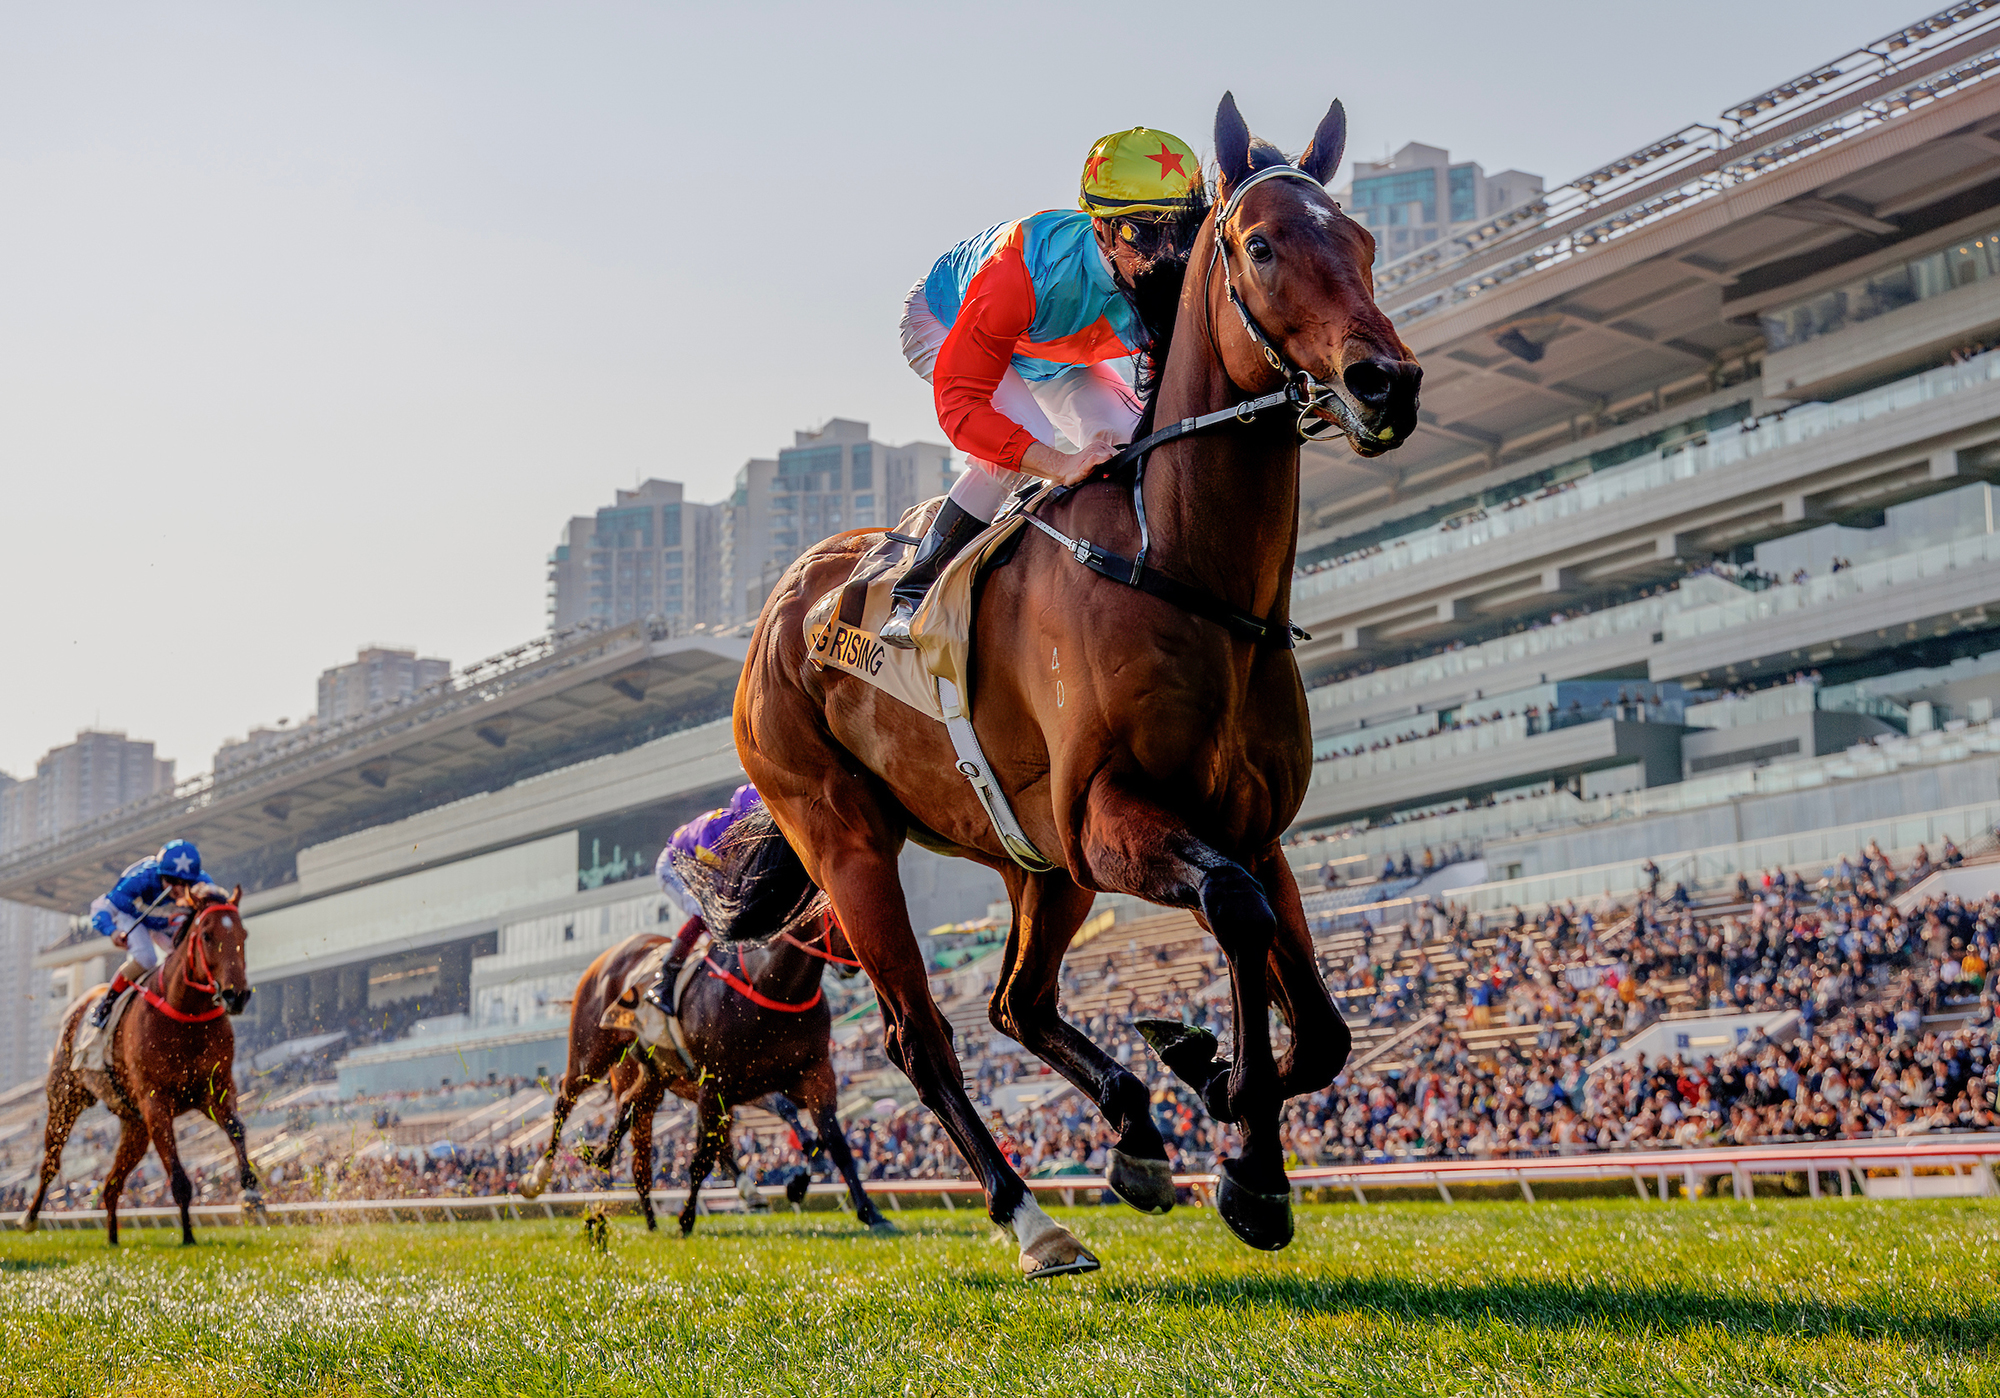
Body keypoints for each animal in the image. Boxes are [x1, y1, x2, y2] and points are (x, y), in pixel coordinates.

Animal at [21, 884, 262, 1248]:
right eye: (207, 934)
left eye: (243, 934)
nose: (237, 995)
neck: (185, 1012)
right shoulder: (155, 1102)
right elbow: (178, 1177)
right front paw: (188, 1237)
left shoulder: (214, 1091)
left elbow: (237, 1129)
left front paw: (250, 1194)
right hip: (64, 1100)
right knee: (51, 1161)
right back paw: (31, 1217)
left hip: (134, 1126)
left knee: (111, 1184)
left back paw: (113, 1239)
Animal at [740, 93, 1424, 1280]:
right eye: (1259, 245)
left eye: (1365, 240)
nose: (1385, 382)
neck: (1182, 571)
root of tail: (780, 609)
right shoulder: (1111, 816)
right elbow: (1235, 915)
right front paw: (1245, 1159)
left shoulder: (1249, 827)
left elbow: (1322, 1023)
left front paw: (1209, 1086)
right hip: (846, 838)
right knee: (920, 1035)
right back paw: (1032, 1217)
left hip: (1034, 857)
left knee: (1015, 1001)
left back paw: (1135, 1130)